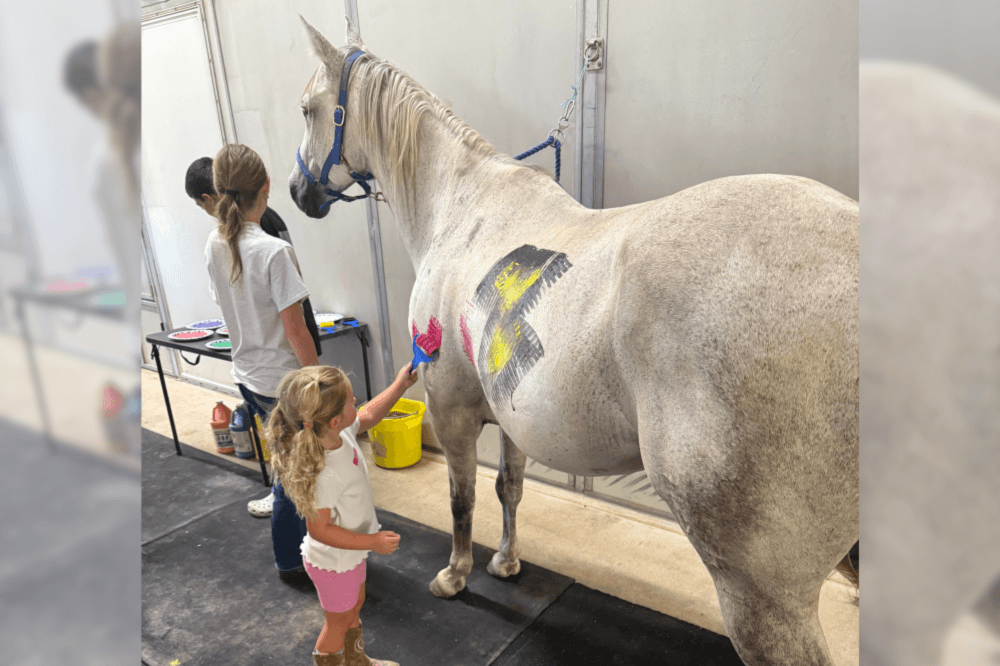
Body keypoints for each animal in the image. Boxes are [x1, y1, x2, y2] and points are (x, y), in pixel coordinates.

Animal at [290, 18, 859, 666]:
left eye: (308, 109)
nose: (298, 191)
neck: (460, 209)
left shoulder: (452, 410)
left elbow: (462, 498)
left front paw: (456, 574)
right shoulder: (508, 417)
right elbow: (509, 489)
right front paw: (506, 561)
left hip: (763, 595)